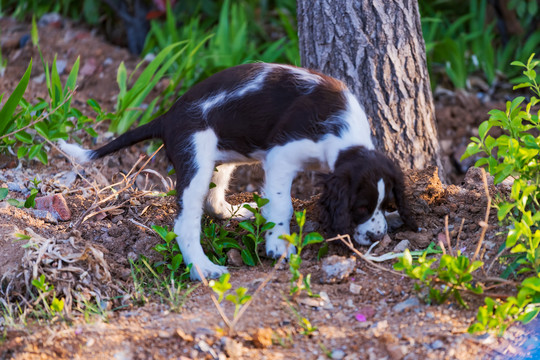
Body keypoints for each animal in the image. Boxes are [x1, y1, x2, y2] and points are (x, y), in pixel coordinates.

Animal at [59, 63, 416, 280]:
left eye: (387, 204)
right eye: (360, 208)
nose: (378, 237)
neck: (343, 138)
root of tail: (167, 117)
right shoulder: (282, 155)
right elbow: (282, 205)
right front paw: (277, 246)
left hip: (222, 158)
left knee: (214, 201)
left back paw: (239, 211)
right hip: (196, 156)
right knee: (185, 222)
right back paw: (204, 269)